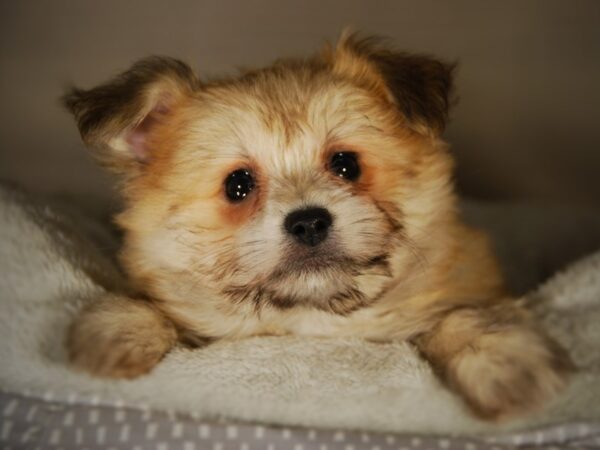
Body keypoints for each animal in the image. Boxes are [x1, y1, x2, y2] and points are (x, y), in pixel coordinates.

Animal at [64, 33, 572, 420]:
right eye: (237, 185)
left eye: (346, 164)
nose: (308, 222)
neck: (313, 321)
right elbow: (155, 309)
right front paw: (114, 332)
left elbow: (460, 317)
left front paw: (503, 360)